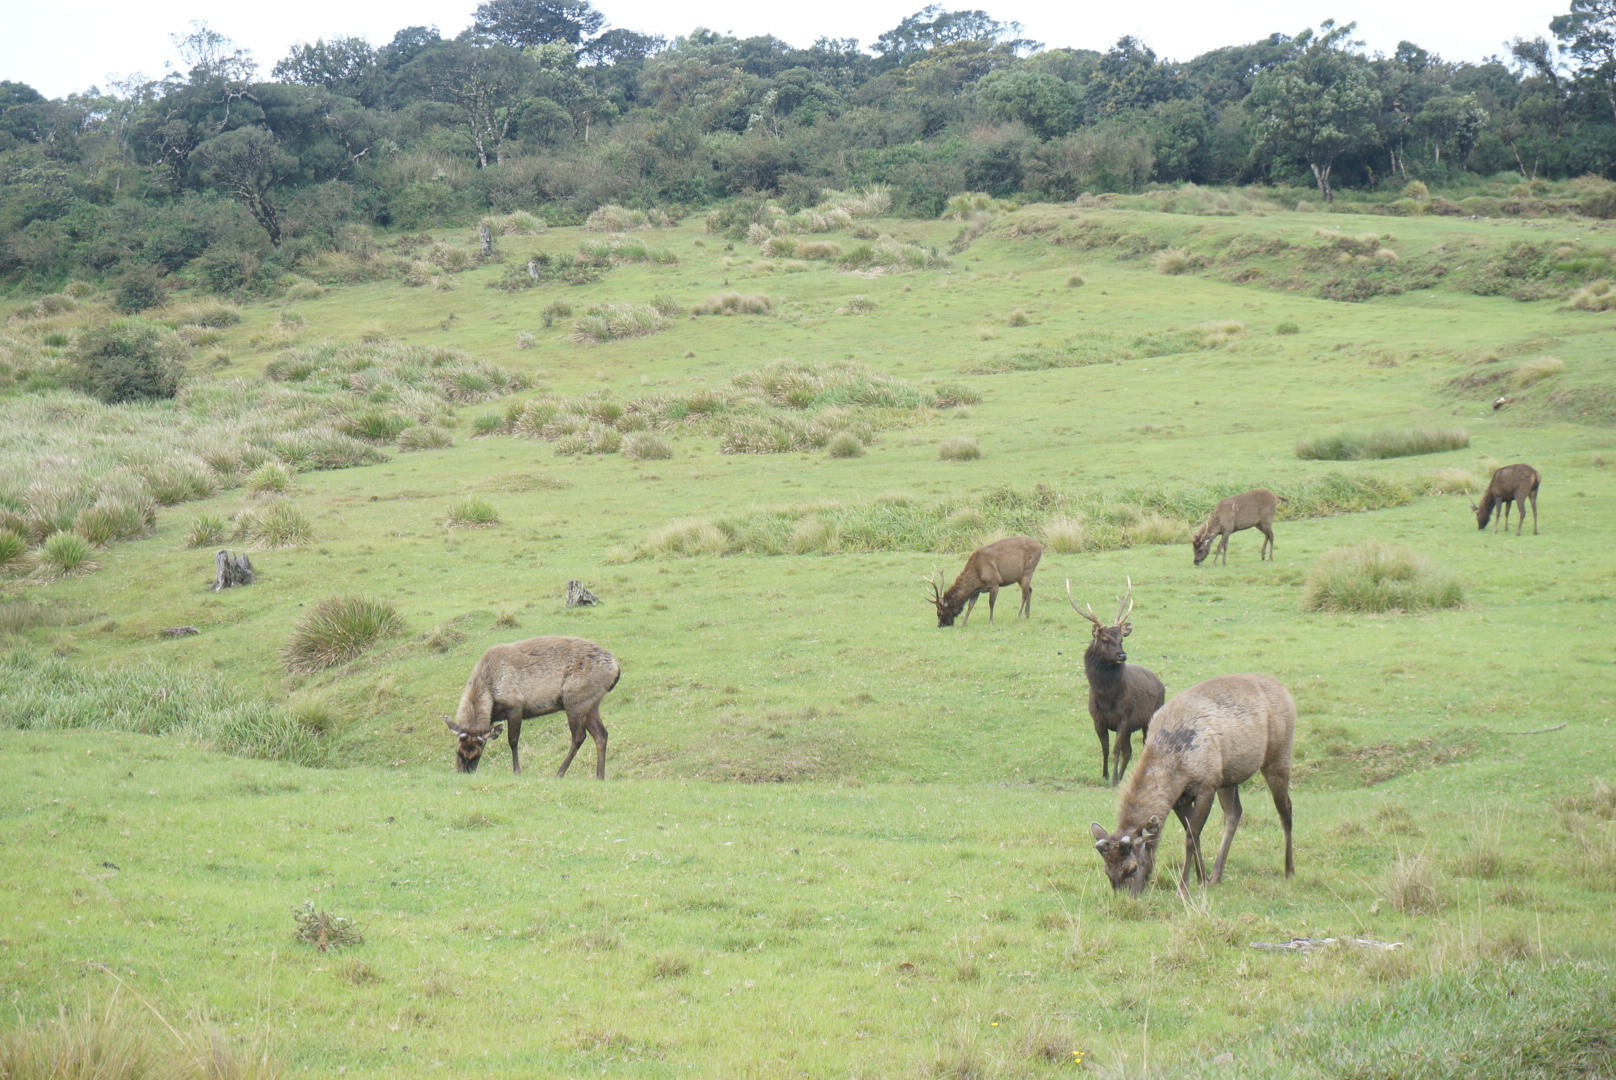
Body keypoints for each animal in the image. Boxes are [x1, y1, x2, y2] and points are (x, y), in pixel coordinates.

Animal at [446, 633, 620, 776]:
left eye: (477, 755)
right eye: (458, 752)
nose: (464, 773)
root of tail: (616, 667)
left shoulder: (515, 704)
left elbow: (513, 740)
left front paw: (517, 771)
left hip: (575, 700)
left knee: (579, 736)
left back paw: (559, 773)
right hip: (591, 703)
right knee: (601, 734)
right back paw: (599, 776)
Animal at [1066, 578, 1169, 788]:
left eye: (1121, 639)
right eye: (1104, 640)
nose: (1122, 655)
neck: (1106, 698)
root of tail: (1161, 683)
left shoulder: (1125, 719)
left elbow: (1116, 750)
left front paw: (1113, 780)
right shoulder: (1097, 719)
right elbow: (1105, 748)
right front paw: (1105, 775)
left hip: (1150, 716)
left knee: (1142, 746)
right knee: (1129, 751)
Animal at [1085, 675, 1299, 892]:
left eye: (1133, 867)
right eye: (1107, 871)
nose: (1126, 897)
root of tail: (1284, 690)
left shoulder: (1207, 786)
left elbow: (1190, 837)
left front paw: (1183, 887)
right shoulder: (1181, 799)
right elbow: (1195, 837)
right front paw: (1201, 878)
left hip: (1278, 756)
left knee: (1285, 809)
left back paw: (1289, 871)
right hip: (1228, 777)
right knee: (1234, 814)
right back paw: (1216, 876)